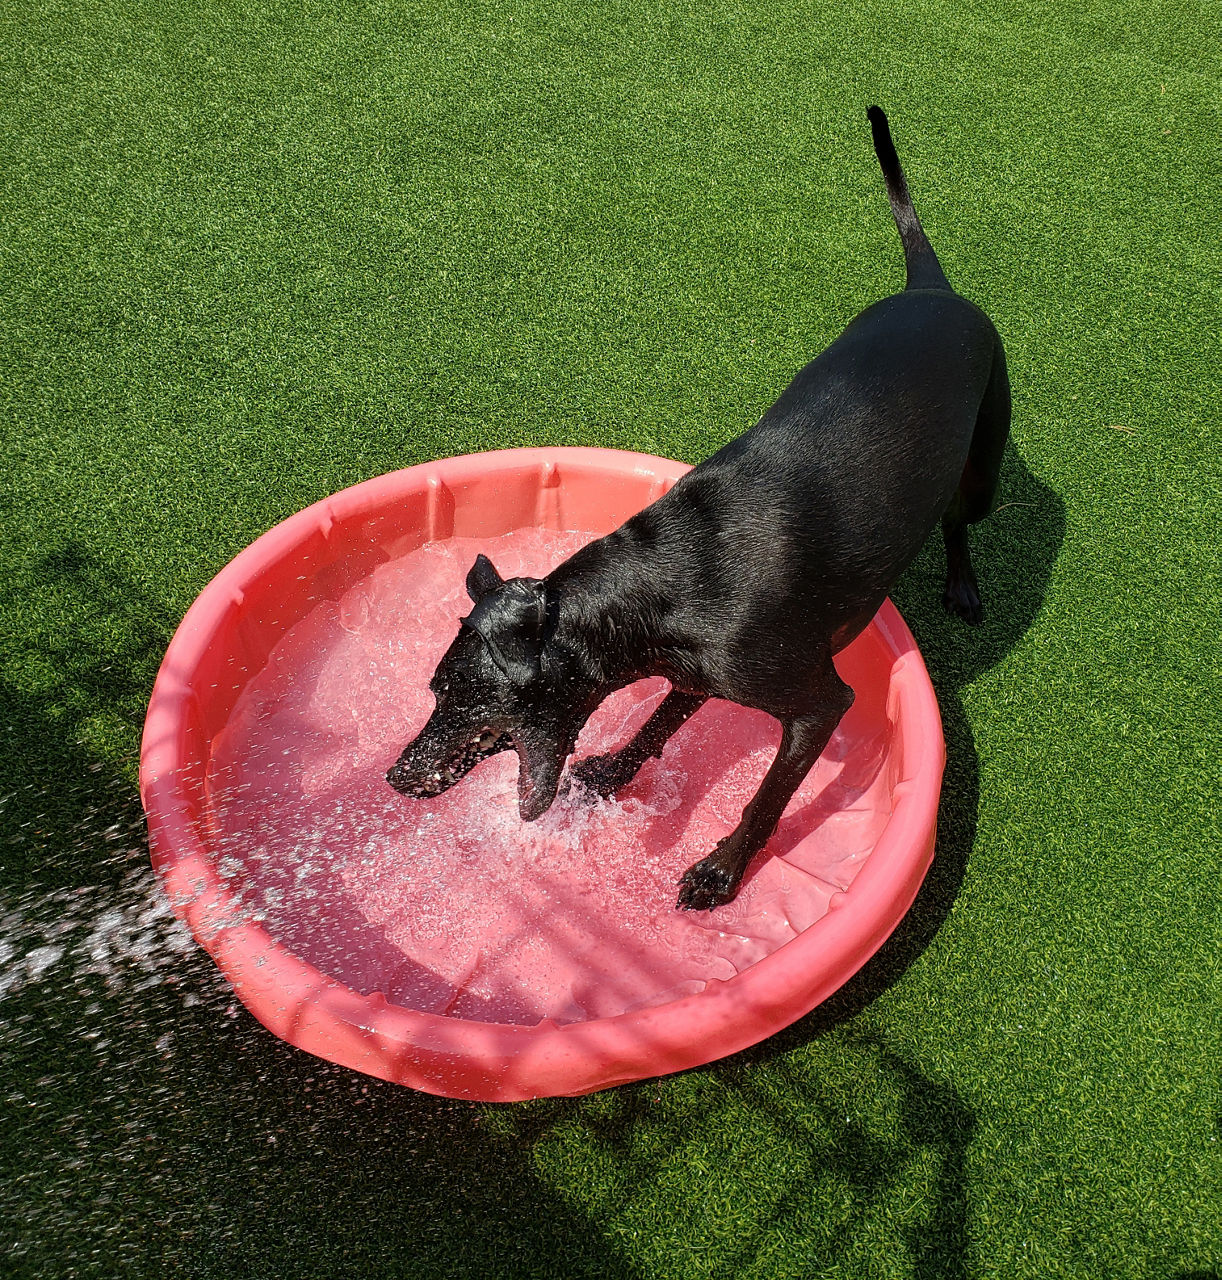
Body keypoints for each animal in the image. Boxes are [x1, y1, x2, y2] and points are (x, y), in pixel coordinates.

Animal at [386, 110, 1008, 911]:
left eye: (450, 691)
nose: (394, 777)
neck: (643, 595)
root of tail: (934, 287)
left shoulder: (819, 704)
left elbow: (766, 799)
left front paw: (721, 871)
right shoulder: (690, 670)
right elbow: (660, 723)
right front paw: (614, 772)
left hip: (982, 465)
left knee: (959, 519)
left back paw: (963, 584)